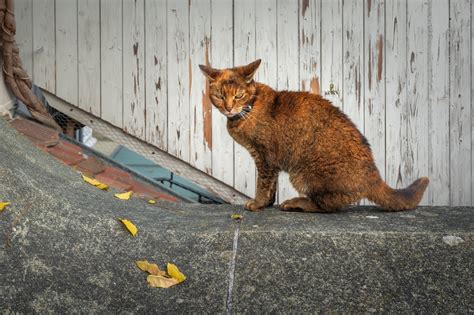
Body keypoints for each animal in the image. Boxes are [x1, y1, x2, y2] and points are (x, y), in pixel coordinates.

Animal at [198, 59, 428, 212]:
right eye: (219, 96)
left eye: (238, 95)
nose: (228, 108)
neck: (249, 108)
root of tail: (375, 176)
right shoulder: (267, 160)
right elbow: (272, 185)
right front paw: (268, 203)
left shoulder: (265, 157)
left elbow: (263, 183)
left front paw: (258, 203)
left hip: (302, 174)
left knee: (327, 205)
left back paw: (295, 203)